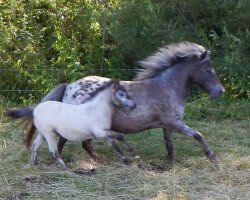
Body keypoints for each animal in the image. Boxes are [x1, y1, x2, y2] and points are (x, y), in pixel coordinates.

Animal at [41, 41, 225, 162]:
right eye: (209, 70)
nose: (221, 91)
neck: (166, 86)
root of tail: (69, 87)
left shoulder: (167, 125)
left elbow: (169, 144)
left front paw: (170, 162)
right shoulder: (175, 123)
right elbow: (198, 135)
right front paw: (211, 156)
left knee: (82, 144)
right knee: (71, 142)